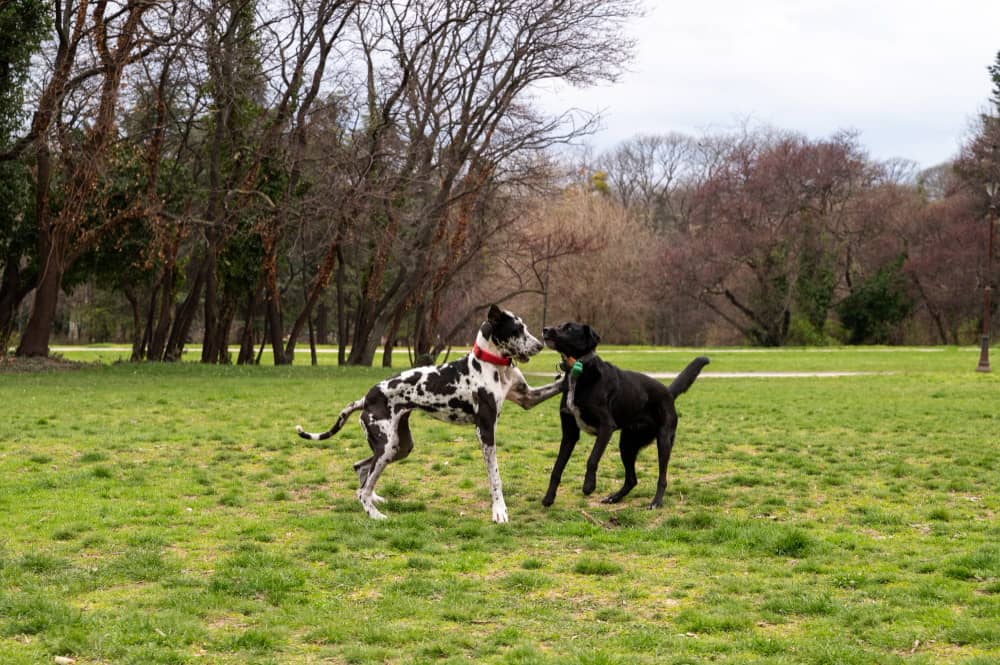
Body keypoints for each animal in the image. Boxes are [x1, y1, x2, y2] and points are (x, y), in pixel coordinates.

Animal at [294, 306, 564, 524]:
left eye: (524, 327)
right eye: (517, 329)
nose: (540, 345)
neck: (493, 364)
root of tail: (366, 398)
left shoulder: (528, 398)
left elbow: (556, 386)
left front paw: (570, 374)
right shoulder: (486, 431)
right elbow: (495, 478)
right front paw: (499, 511)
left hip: (399, 447)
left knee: (361, 469)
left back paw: (374, 500)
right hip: (387, 446)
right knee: (363, 487)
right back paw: (375, 515)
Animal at [540, 322, 712, 508]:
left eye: (569, 328)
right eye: (559, 325)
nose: (545, 329)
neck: (579, 368)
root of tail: (668, 392)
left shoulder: (606, 426)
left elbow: (592, 459)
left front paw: (588, 486)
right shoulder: (569, 434)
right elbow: (557, 468)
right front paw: (549, 497)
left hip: (663, 440)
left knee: (662, 477)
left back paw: (656, 502)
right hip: (627, 444)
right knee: (632, 479)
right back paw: (614, 497)